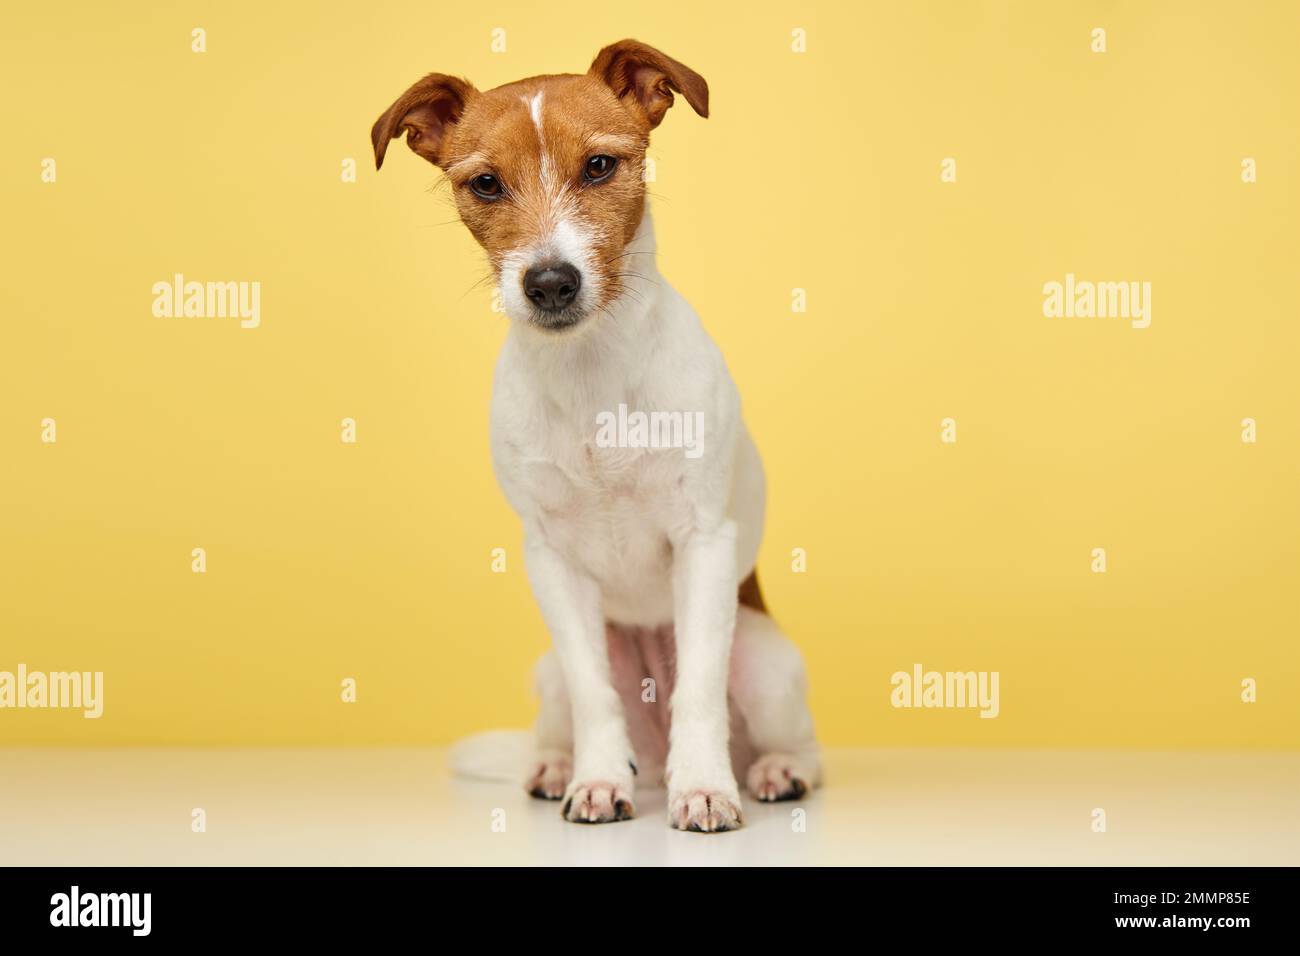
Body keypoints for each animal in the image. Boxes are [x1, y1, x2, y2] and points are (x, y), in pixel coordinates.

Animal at [377, 37, 816, 832]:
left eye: (600, 166)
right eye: (485, 184)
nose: (550, 282)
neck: (590, 375)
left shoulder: (704, 543)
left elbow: (698, 689)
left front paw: (703, 788)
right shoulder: (551, 561)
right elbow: (594, 694)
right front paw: (598, 781)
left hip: (766, 661)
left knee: (797, 744)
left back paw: (770, 771)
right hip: (547, 670)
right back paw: (558, 766)